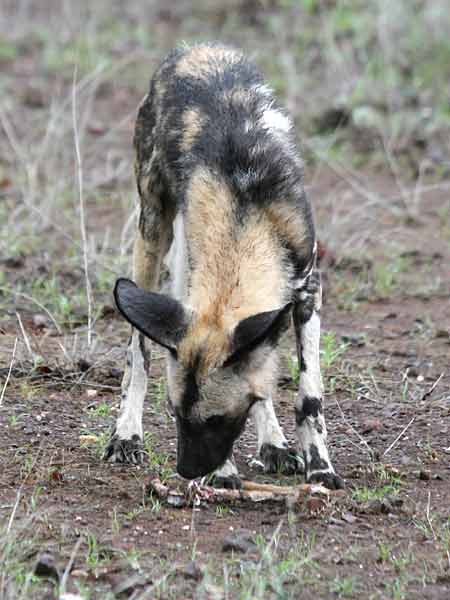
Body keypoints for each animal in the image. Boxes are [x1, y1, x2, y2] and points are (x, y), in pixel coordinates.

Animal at [104, 44, 344, 490]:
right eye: (176, 414)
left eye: (216, 421)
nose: (186, 470)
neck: (245, 209)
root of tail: (194, 48)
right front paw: (226, 471)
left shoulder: (306, 290)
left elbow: (308, 396)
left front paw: (319, 466)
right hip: (152, 233)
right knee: (138, 351)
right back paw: (126, 434)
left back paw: (274, 444)